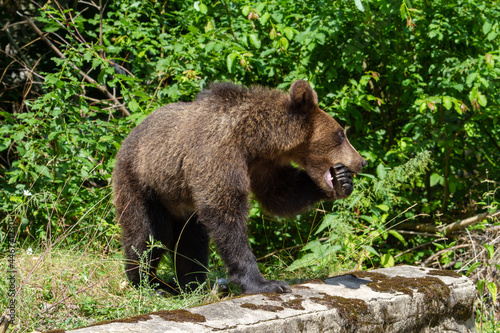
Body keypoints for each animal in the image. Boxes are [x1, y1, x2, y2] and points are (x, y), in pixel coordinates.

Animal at [111, 80, 366, 294]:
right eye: (340, 133)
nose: (362, 161)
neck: (253, 141)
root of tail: (129, 136)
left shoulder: (262, 166)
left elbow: (281, 193)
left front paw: (343, 181)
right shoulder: (218, 155)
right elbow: (227, 215)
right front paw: (265, 283)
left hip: (183, 204)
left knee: (192, 240)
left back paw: (193, 283)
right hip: (142, 183)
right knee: (148, 234)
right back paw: (149, 283)